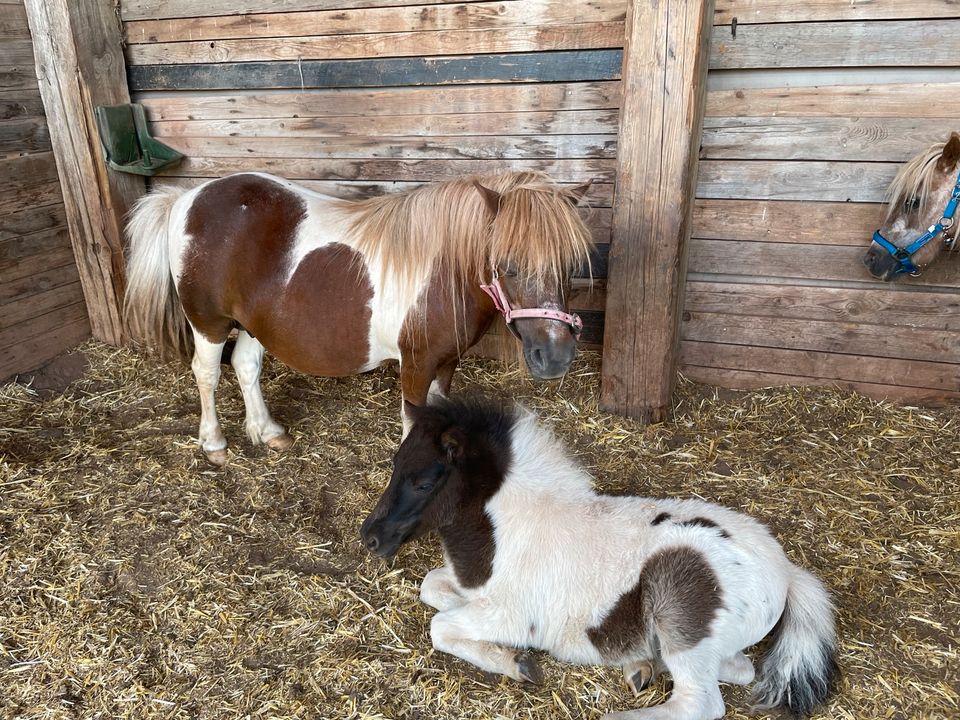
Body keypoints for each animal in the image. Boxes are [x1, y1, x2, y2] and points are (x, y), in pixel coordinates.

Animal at [124, 172, 588, 464]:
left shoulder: (447, 362)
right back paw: (214, 443)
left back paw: (268, 431)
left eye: (570, 265)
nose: (555, 357)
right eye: (507, 265)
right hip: (210, 324)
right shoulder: (416, 365)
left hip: (253, 324)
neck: (442, 273)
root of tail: (184, 200)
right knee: (207, 373)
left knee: (245, 367)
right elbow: (413, 422)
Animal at [360, 400, 840, 720]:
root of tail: (787, 571)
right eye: (393, 464)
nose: (371, 536)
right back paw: (642, 665)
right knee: (739, 668)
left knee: (699, 702)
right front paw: (512, 659)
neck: (505, 532)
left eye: (424, 482)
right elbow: (432, 589)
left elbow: (440, 627)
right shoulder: (472, 590)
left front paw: (517, 663)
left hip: (681, 605)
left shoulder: (511, 614)